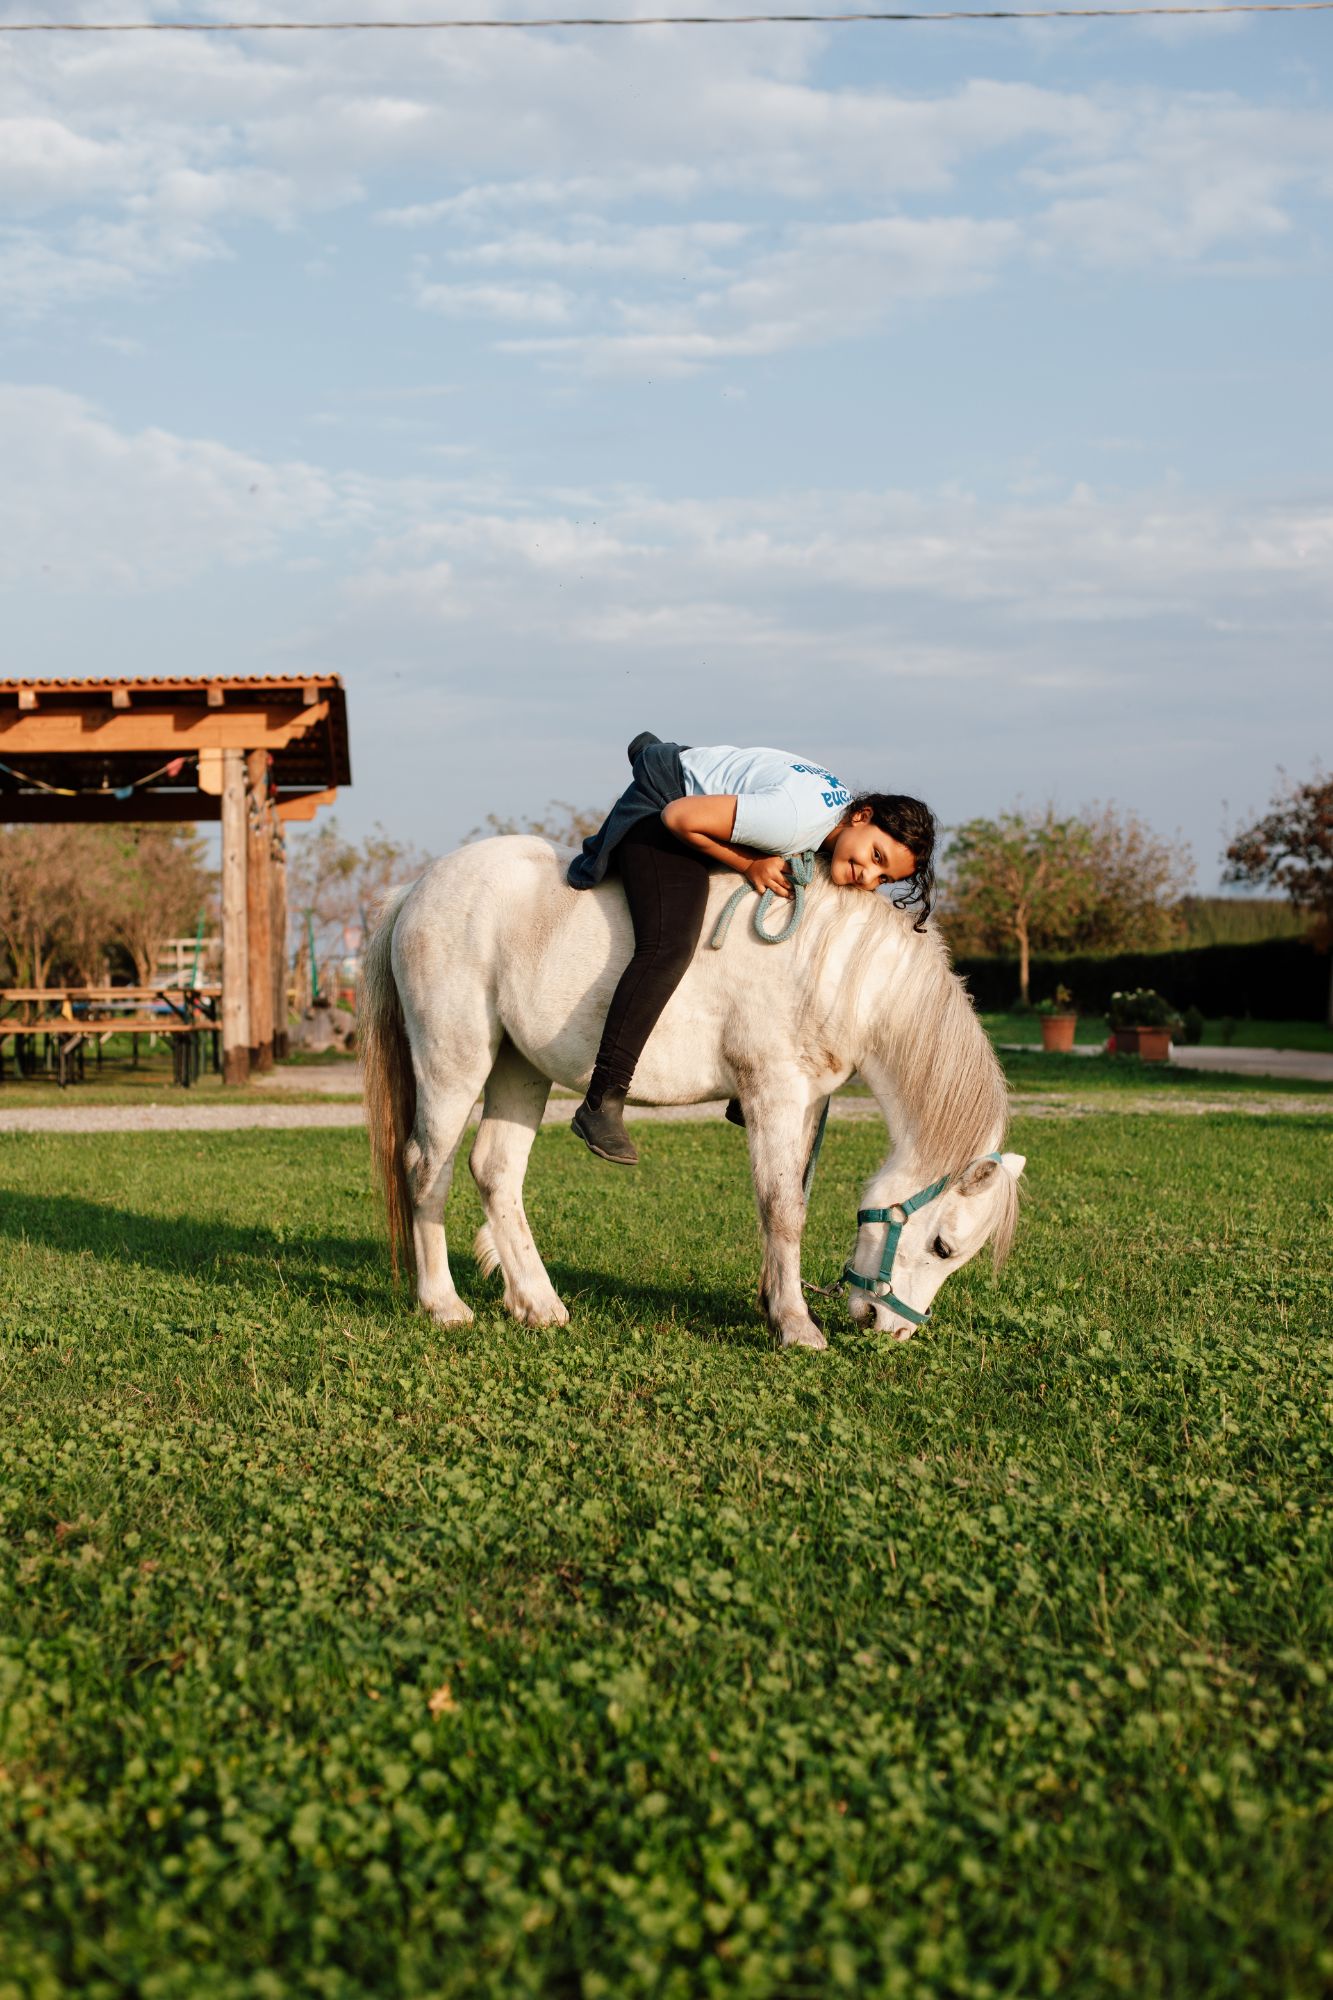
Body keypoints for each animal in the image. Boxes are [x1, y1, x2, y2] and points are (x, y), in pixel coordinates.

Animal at [359, 836, 1024, 1349]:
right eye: (942, 1247)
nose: (894, 1328)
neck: (835, 964)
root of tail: (416, 889)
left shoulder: (806, 1103)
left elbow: (792, 1198)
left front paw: (775, 1302)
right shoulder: (772, 1093)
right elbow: (782, 1207)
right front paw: (797, 1325)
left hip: (519, 1067)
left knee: (495, 1171)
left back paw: (536, 1302)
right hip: (454, 1060)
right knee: (427, 1167)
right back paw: (443, 1304)